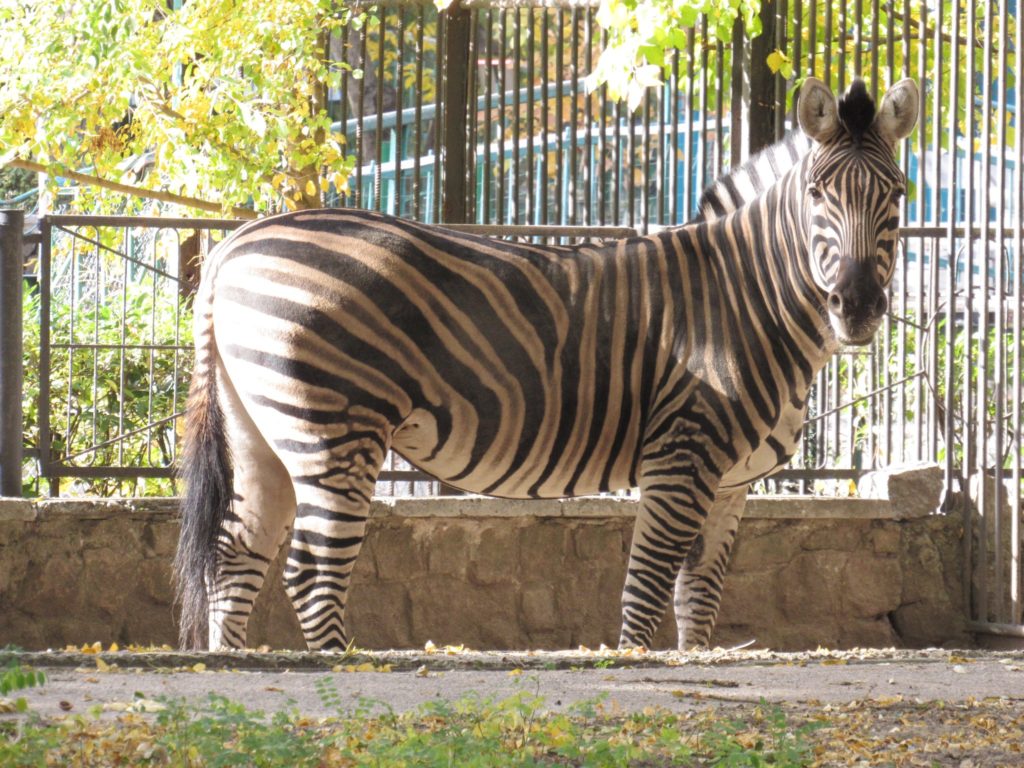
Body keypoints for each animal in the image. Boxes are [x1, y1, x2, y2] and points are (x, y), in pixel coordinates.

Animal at [176, 76, 921, 651]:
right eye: (818, 194)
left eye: (898, 195)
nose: (857, 306)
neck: (748, 298)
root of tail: (236, 242)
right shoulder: (680, 456)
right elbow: (646, 589)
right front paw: (636, 678)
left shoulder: (732, 483)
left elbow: (698, 599)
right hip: (333, 428)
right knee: (310, 569)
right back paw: (343, 669)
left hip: (260, 435)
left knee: (236, 556)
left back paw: (235, 668)